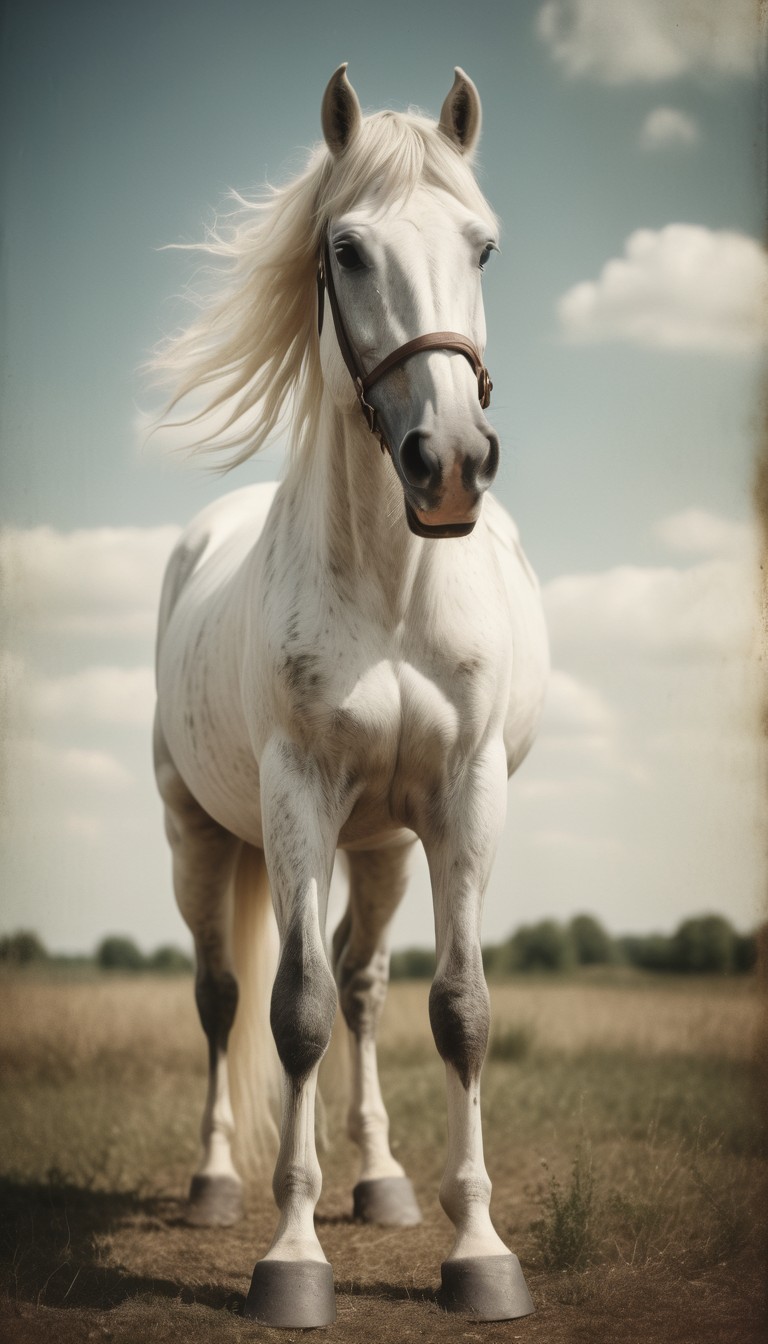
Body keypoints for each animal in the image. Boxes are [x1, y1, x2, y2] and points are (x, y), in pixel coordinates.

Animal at [152, 64, 549, 1328]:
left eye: (483, 246)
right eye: (347, 249)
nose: (451, 463)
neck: (388, 585)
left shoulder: (463, 800)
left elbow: (457, 1009)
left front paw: (479, 1251)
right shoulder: (297, 798)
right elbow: (294, 1012)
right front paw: (290, 1257)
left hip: (380, 849)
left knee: (369, 987)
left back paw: (378, 1181)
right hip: (202, 834)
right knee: (226, 994)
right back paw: (219, 1185)